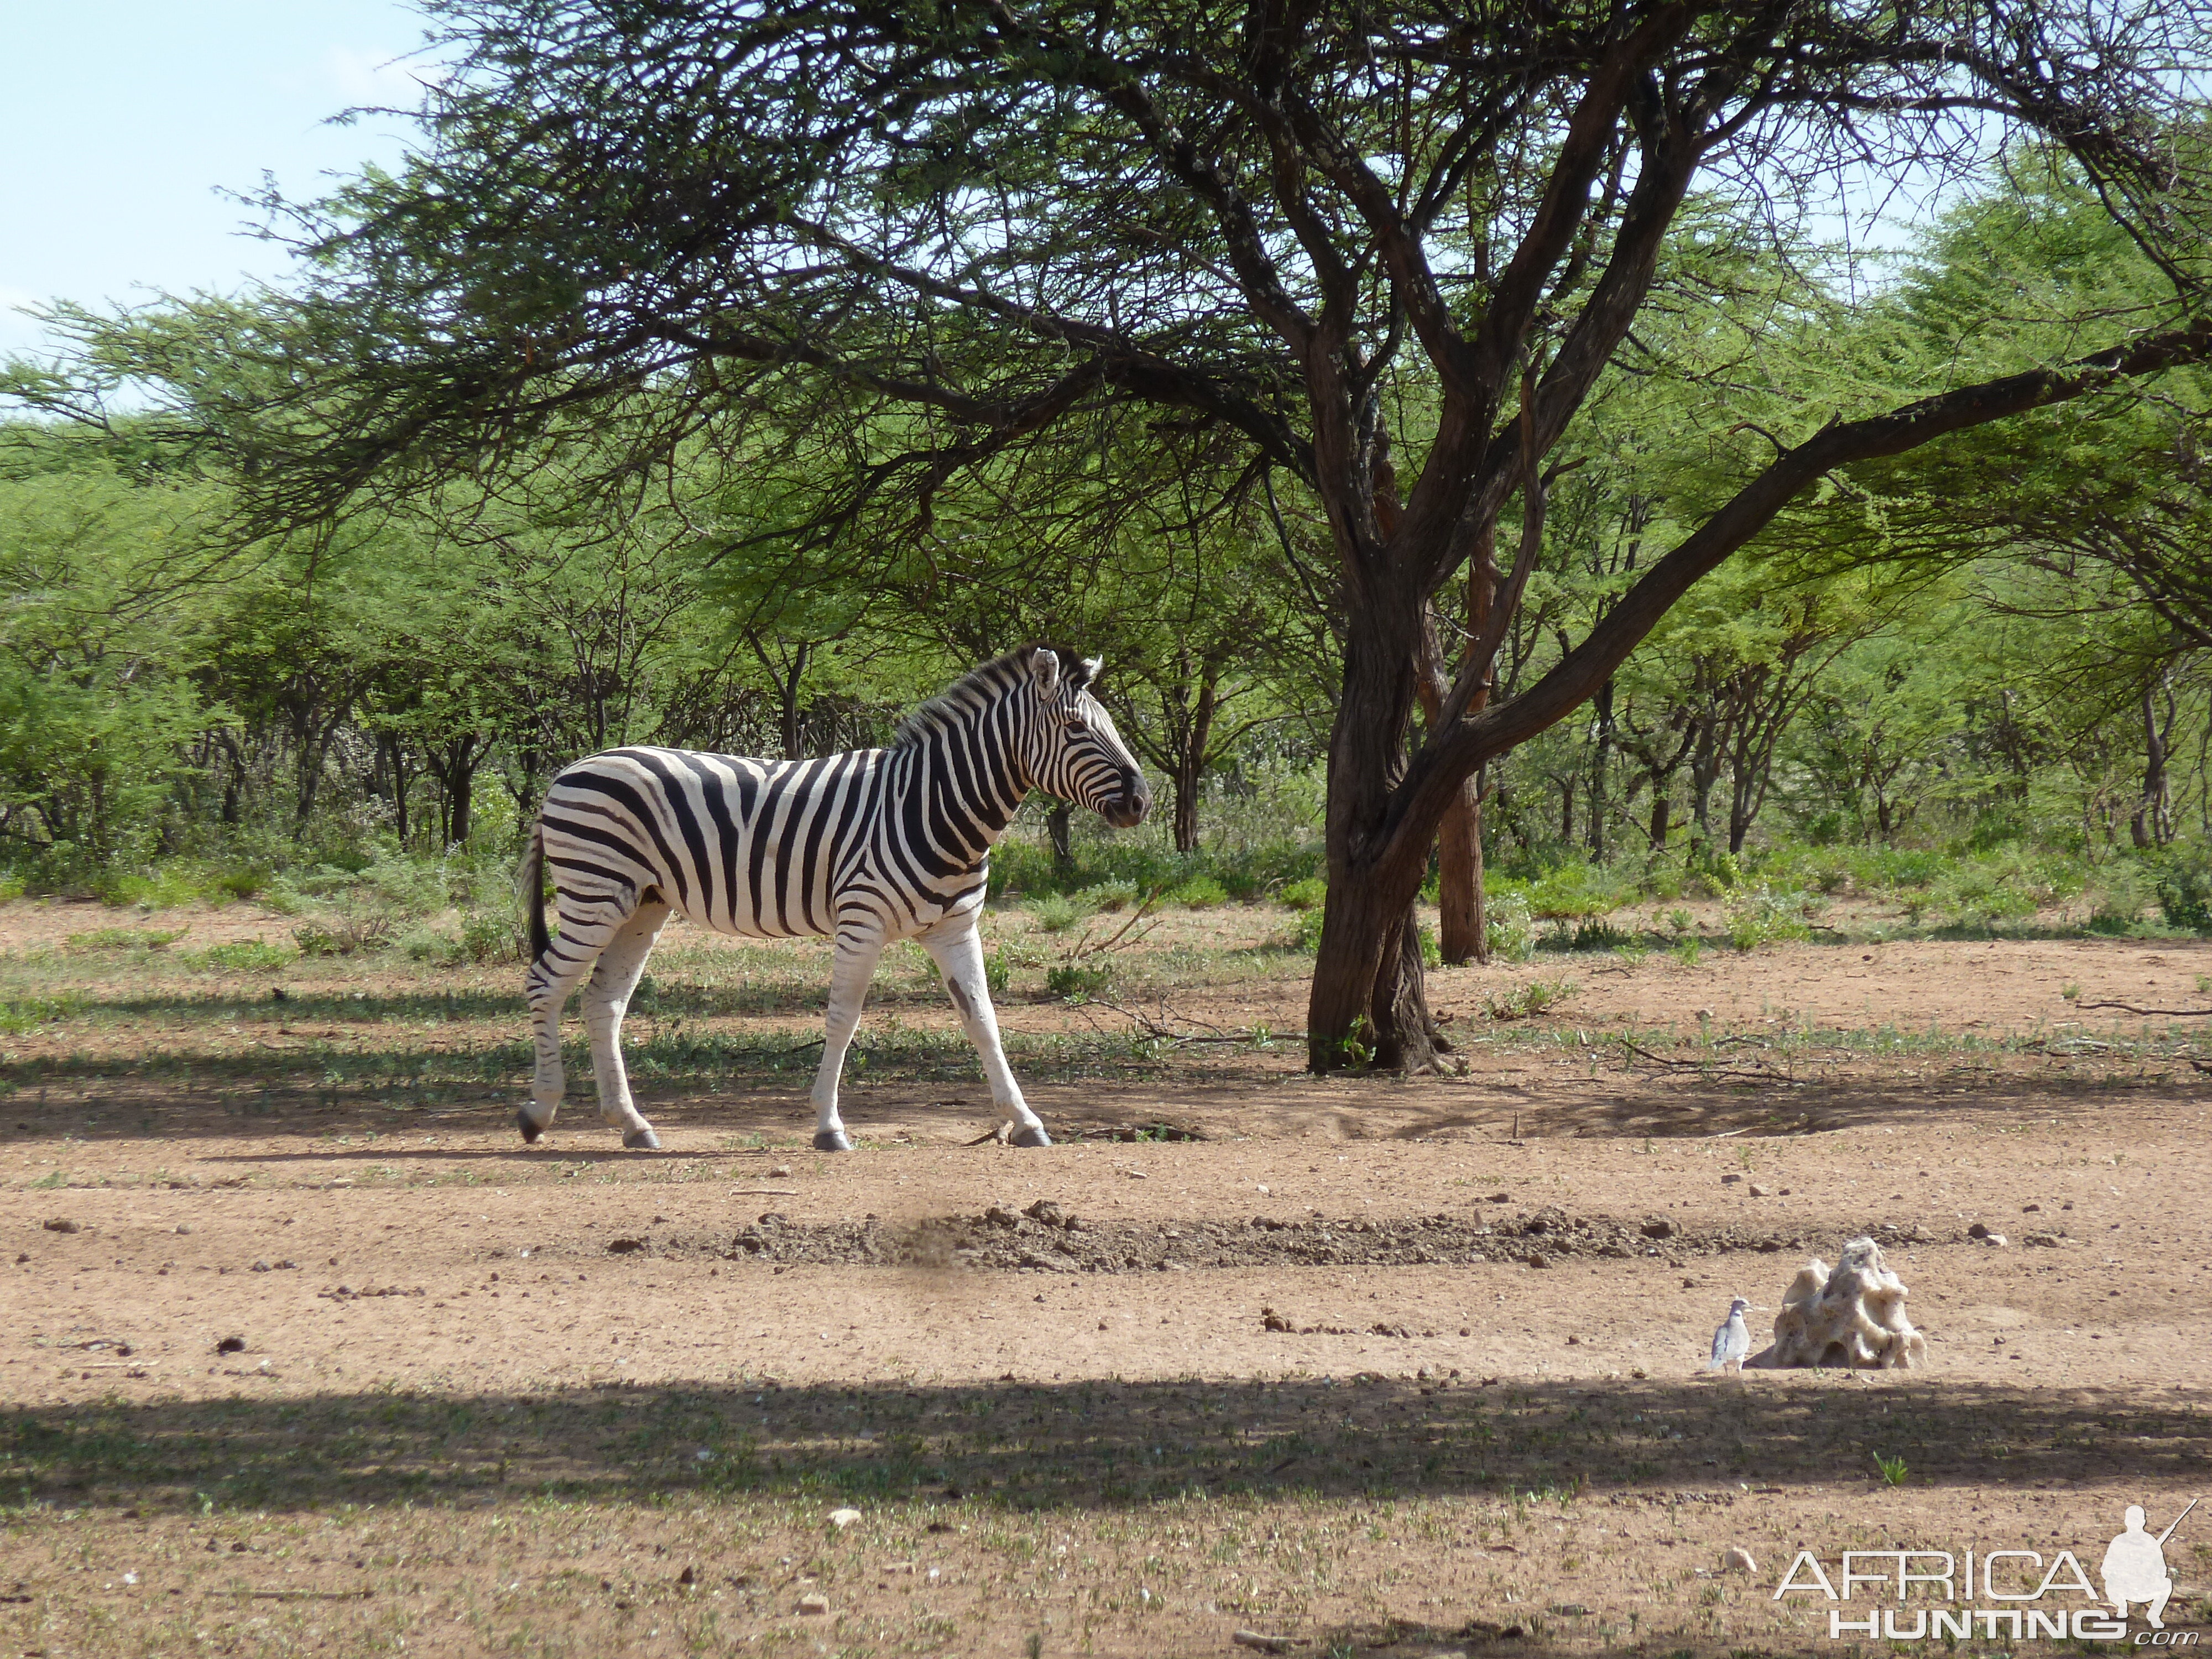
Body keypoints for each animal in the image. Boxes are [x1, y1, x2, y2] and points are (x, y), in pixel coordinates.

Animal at [511, 646, 1150, 1159]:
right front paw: (829, 1126)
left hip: (642, 904)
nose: (1141, 802)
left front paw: (1025, 1121)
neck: (933, 803)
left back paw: (633, 1125)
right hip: (596, 891)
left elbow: (985, 1021)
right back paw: (539, 1111)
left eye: (1108, 725)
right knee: (545, 983)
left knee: (603, 1002)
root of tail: (571, 768)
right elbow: (843, 1018)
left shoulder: (956, 927)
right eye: (1074, 727)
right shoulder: (861, 919)